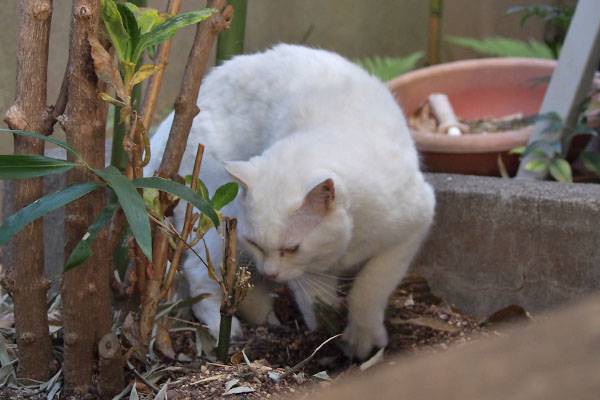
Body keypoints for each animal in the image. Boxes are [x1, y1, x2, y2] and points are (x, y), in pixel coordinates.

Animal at [146, 44, 436, 360]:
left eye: (291, 248)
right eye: (257, 243)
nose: (270, 272)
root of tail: (167, 128)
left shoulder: (411, 228)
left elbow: (369, 288)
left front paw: (361, 339)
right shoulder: (310, 271)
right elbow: (316, 299)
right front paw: (326, 337)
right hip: (216, 225)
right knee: (199, 275)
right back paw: (227, 330)